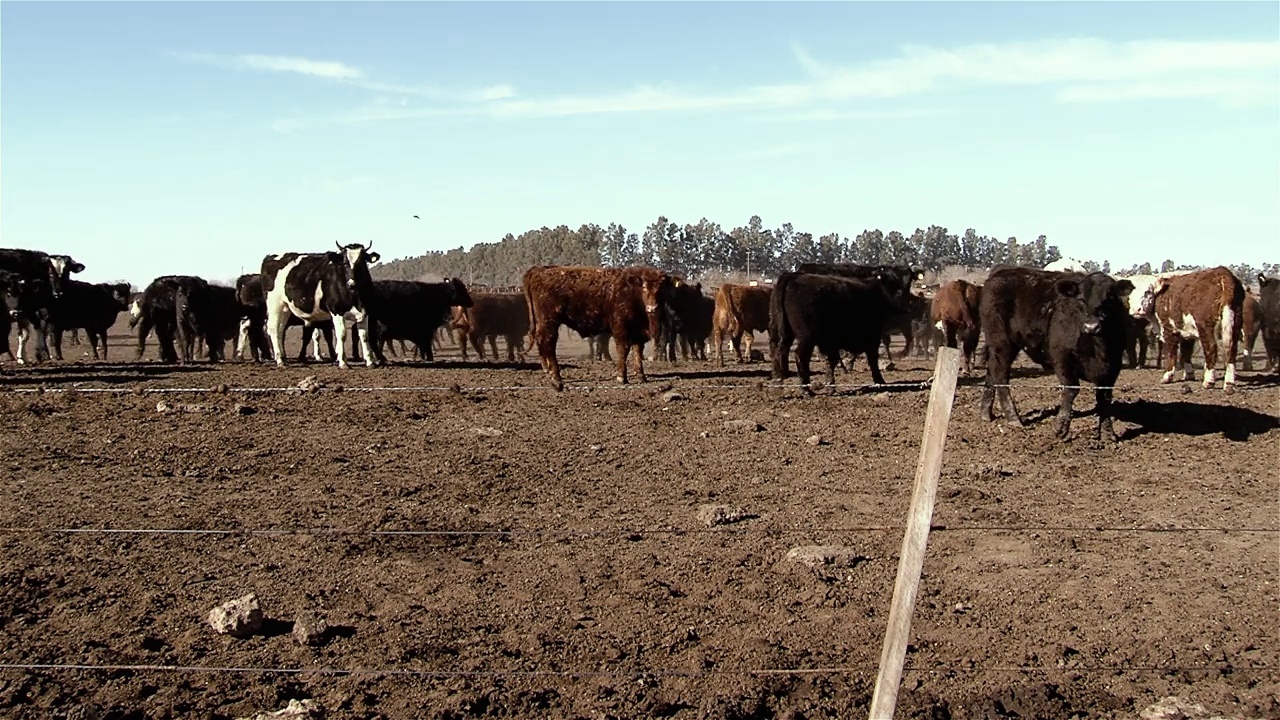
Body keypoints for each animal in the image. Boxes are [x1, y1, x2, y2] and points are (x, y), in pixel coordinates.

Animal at [522, 262, 675, 386]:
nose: (652, 308)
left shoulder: (638, 331)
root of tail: (539, 270)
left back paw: (548, 370)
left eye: (661, 288)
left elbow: (638, 351)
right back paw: (556, 376)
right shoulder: (620, 327)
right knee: (548, 343)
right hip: (550, 322)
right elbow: (623, 349)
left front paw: (641, 376)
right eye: (644, 287)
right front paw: (622, 377)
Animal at [768, 267, 911, 389]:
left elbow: (833, 359)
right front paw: (879, 380)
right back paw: (806, 389)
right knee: (800, 356)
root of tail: (793, 276)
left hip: (785, 333)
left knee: (780, 351)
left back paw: (779, 379)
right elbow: (871, 359)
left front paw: (831, 382)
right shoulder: (871, 337)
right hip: (807, 338)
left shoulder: (832, 342)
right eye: (894, 283)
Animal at [972, 266, 1136, 440]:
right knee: (1001, 377)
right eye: (1080, 298)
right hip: (1002, 343)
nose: (1091, 326)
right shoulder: (1062, 357)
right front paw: (1060, 428)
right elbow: (1071, 389)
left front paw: (1107, 434)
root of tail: (1001, 271)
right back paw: (1013, 418)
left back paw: (985, 413)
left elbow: (1104, 398)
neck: (1098, 347)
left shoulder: (1113, 366)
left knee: (992, 371)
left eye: (1110, 297)